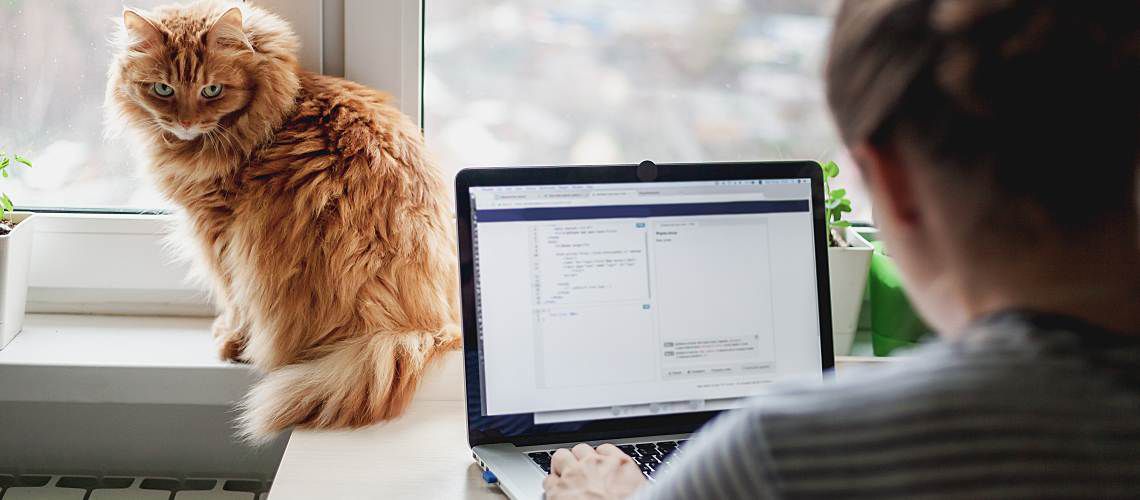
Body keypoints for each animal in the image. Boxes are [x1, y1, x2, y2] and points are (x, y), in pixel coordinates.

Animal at [106, 0, 462, 441]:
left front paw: (230, 340)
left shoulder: (219, 233)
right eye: (163, 89)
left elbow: (232, 297)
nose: (184, 123)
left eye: (211, 90)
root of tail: (423, 328)